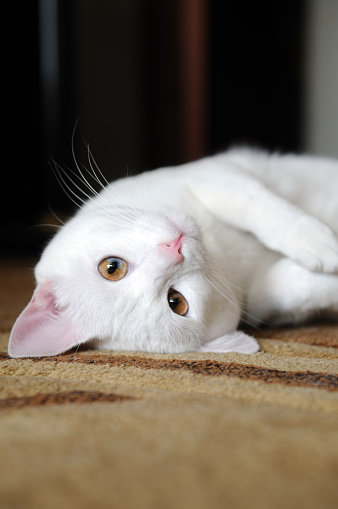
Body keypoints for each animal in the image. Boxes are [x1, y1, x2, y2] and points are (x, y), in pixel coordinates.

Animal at [7, 147, 338, 358]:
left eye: (111, 267)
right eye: (176, 302)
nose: (174, 248)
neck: (224, 251)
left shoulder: (212, 176)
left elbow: (257, 205)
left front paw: (320, 242)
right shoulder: (261, 300)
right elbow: (297, 285)